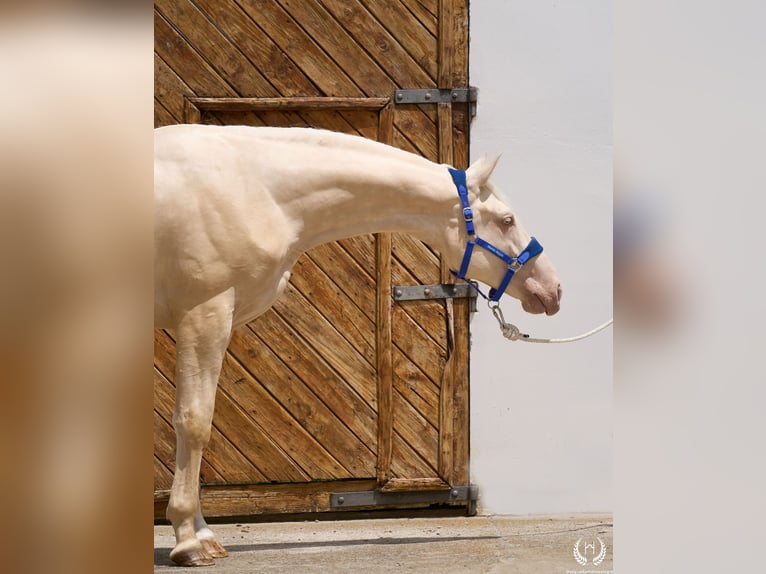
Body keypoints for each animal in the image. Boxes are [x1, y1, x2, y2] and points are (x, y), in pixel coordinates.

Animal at [154, 124, 561, 566]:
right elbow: (194, 422)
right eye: (507, 220)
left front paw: (201, 534)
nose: (553, 288)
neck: (254, 187)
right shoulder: (203, 315)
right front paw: (189, 541)